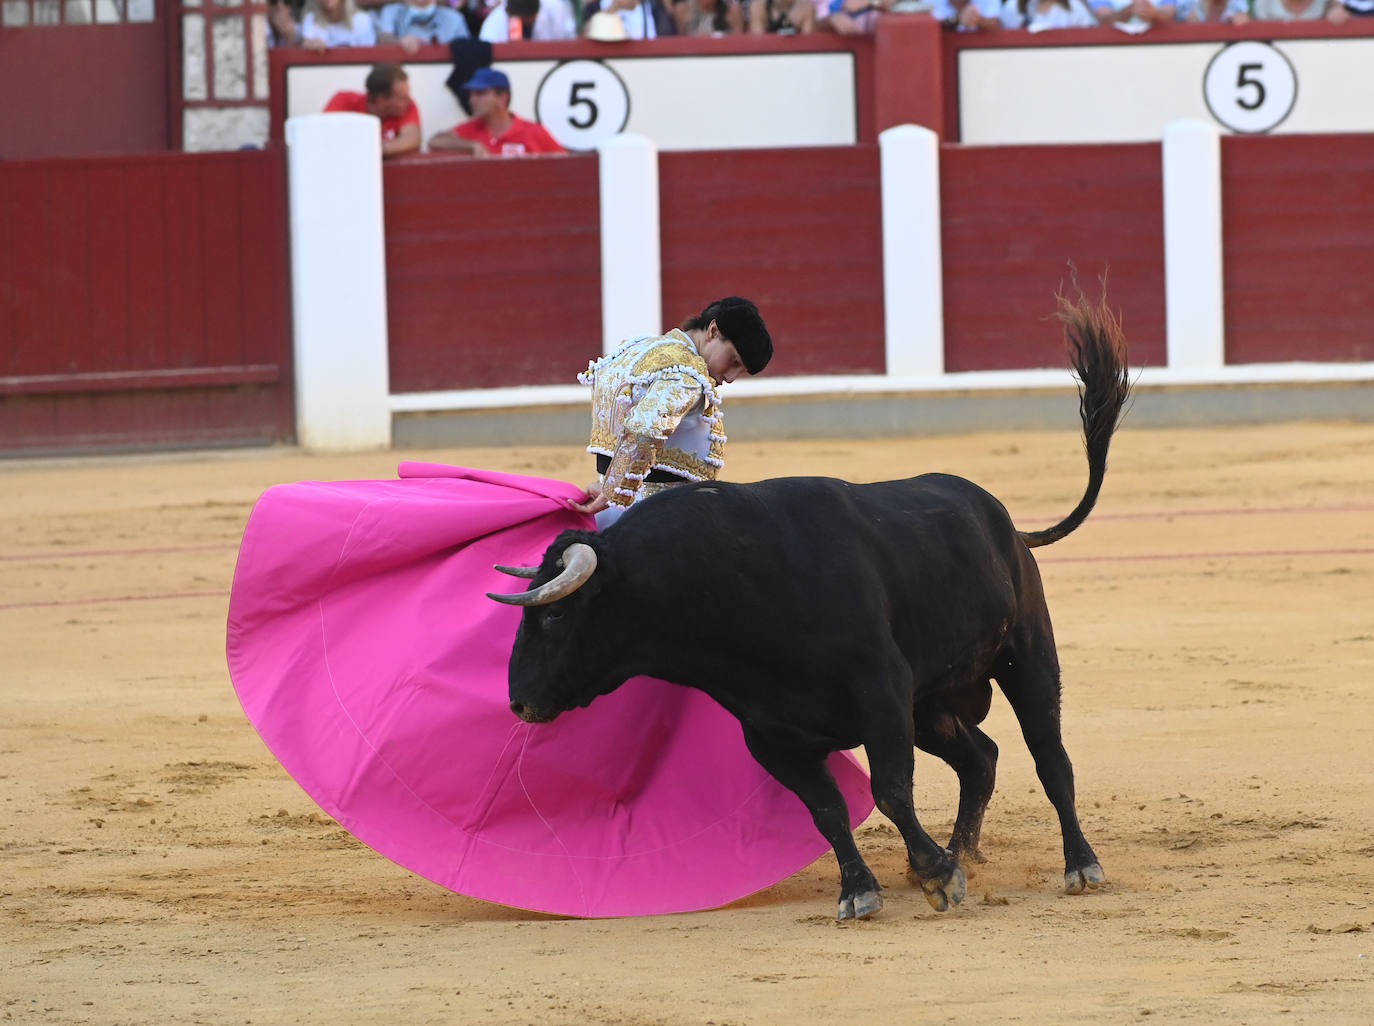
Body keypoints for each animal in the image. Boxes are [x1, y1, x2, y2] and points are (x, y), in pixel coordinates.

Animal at [489, 291, 1132, 922]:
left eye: (553, 614)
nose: (518, 702)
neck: (729, 586)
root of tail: (1011, 529)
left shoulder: (881, 692)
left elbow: (889, 791)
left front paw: (938, 878)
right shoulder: (773, 730)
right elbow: (826, 809)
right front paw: (866, 888)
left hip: (1025, 653)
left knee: (1049, 755)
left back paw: (1078, 865)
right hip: (931, 702)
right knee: (981, 757)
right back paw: (962, 850)